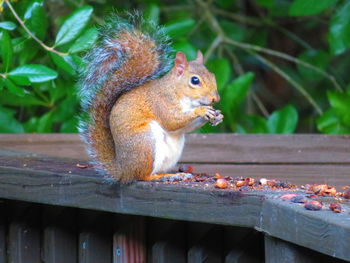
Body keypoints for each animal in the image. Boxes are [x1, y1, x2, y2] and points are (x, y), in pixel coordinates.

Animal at [78, 13, 223, 184]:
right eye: (195, 80)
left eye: (213, 76)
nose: (215, 99)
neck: (178, 92)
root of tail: (123, 171)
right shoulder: (160, 102)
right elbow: (171, 121)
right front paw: (201, 110)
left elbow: (184, 128)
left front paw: (217, 116)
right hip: (146, 143)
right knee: (142, 175)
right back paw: (163, 177)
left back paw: (175, 174)